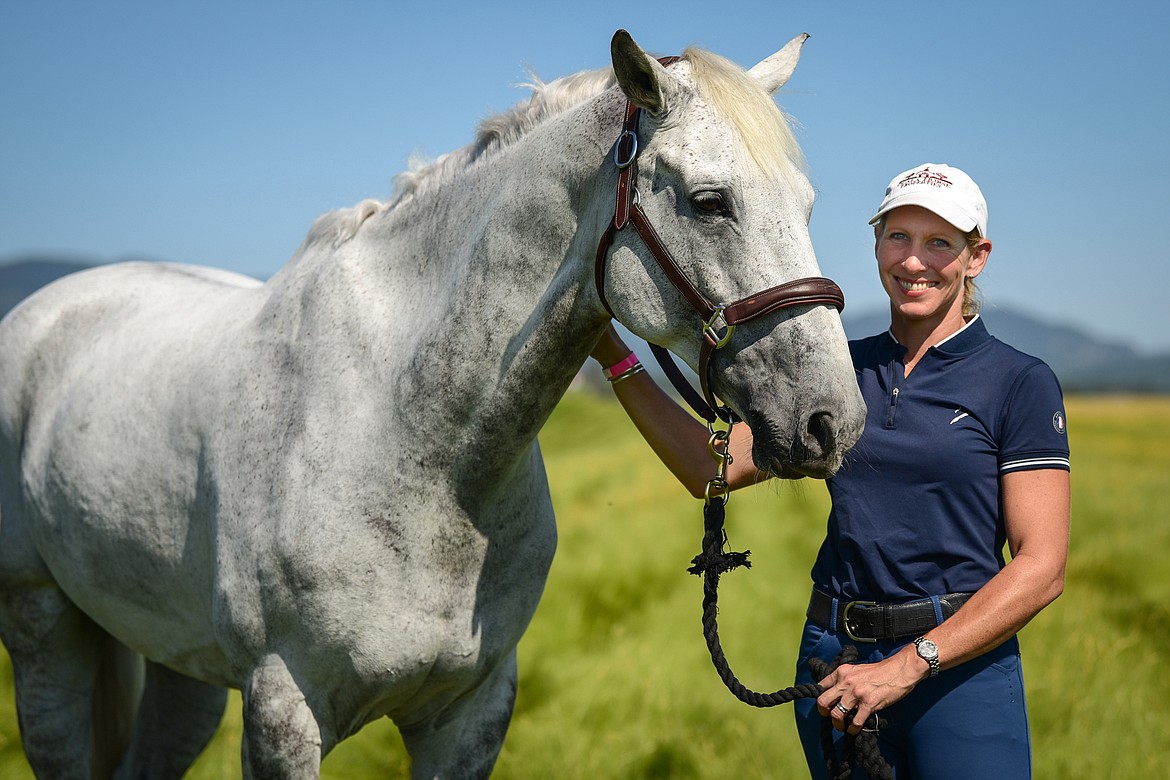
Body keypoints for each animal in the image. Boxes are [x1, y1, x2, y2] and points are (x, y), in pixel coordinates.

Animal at [0, 28, 861, 776]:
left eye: (808, 204)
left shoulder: (470, 713)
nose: (832, 421)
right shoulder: (282, 713)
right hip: (46, 636)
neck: (406, 435)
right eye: (710, 201)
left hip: (178, 663)